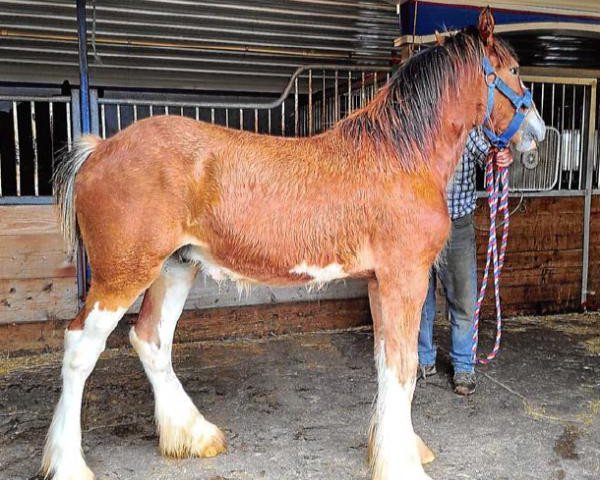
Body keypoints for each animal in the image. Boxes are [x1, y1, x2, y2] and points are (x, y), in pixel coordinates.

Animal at [42, 9, 548, 480]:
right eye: (514, 70)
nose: (538, 134)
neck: (400, 155)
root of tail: (98, 149)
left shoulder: (379, 282)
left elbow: (386, 364)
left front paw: (395, 447)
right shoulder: (404, 279)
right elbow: (403, 369)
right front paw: (401, 462)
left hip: (174, 267)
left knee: (151, 339)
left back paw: (194, 435)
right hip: (122, 276)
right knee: (80, 348)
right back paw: (68, 463)